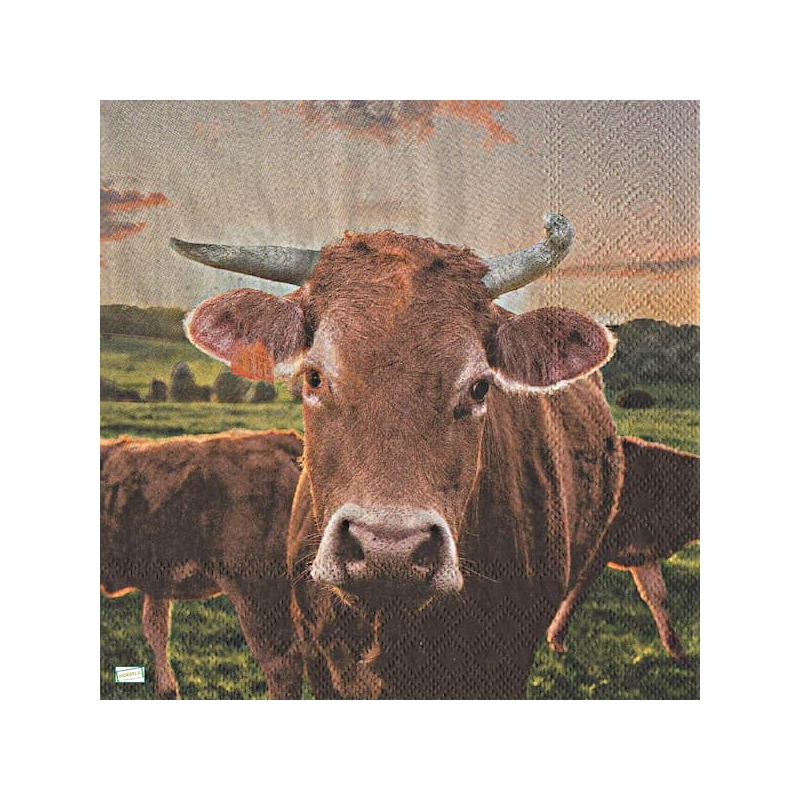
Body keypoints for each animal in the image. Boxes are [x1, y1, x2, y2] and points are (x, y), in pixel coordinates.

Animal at [548, 436, 700, 660]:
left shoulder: (643, 555)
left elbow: (658, 596)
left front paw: (677, 650)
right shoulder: (600, 549)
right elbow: (577, 592)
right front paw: (556, 641)